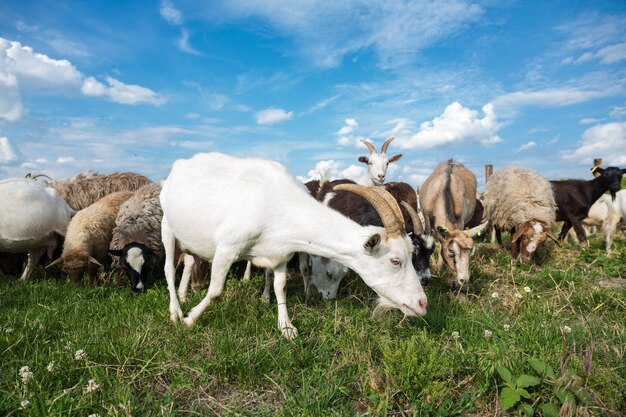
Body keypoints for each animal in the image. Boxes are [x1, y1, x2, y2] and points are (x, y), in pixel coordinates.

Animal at [158, 152, 426, 338]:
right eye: (395, 260)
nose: (422, 304)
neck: (281, 204)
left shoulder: (280, 253)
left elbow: (281, 286)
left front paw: (286, 327)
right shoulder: (227, 247)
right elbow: (215, 290)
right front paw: (190, 319)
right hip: (167, 226)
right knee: (169, 270)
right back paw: (175, 311)